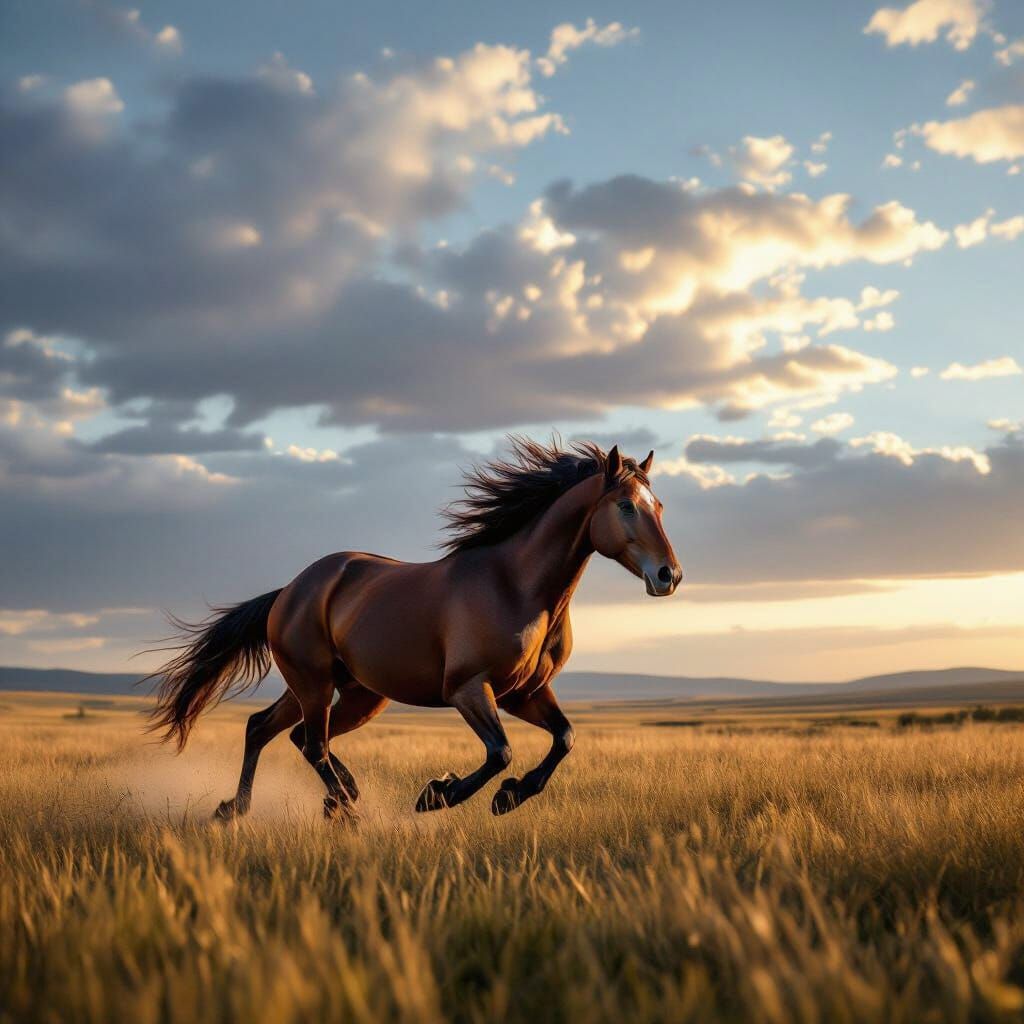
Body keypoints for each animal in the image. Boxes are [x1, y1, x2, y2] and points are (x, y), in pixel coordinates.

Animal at [148, 438, 683, 821]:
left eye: (659, 506)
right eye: (626, 507)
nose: (669, 576)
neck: (516, 586)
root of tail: (291, 589)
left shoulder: (525, 693)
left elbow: (565, 739)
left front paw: (510, 797)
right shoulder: (468, 689)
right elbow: (501, 753)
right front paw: (439, 794)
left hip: (353, 692)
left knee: (275, 730)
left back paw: (247, 808)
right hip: (314, 683)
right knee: (312, 742)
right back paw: (345, 809)